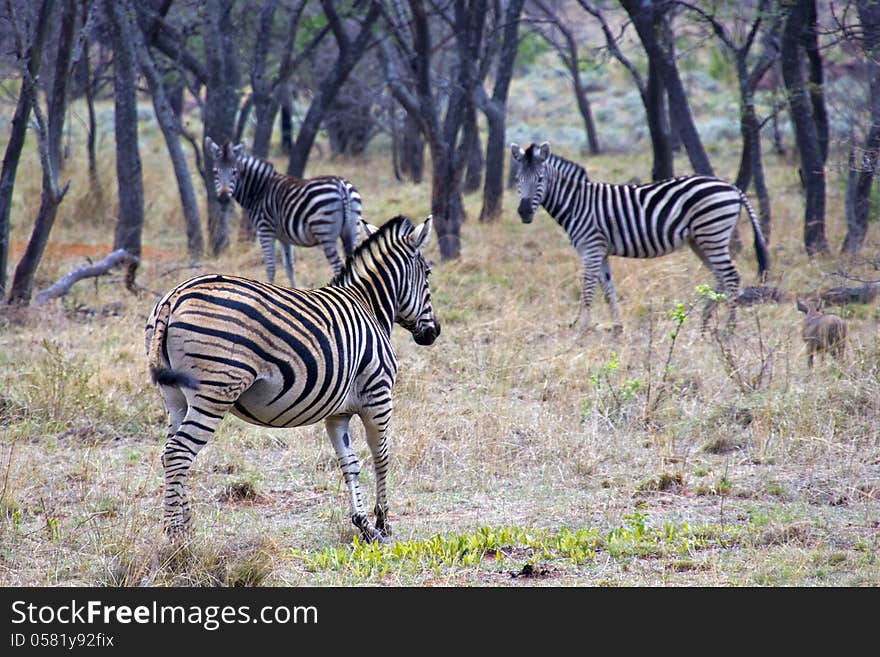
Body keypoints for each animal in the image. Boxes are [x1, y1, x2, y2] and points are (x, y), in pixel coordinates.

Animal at [147, 215, 444, 544]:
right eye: (428, 273)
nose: (433, 332)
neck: (369, 306)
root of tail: (174, 297)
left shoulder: (337, 413)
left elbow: (350, 463)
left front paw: (363, 523)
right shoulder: (378, 396)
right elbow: (381, 457)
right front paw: (383, 523)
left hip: (175, 397)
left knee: (169, 453)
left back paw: (186, 528)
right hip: (214, 392)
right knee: (179, 452)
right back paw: (175, 534)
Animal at [205, 138, 360, 288]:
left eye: (234, 172)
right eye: (215, 172)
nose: (223, 198)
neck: (260, 190)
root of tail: (341, 186)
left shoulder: (265, 230)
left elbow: (270, 267)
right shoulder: (284, 238)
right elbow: (289, 267)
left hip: (325, 232)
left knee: (338, 266)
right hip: (352, 229)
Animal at [512, 140, 768, 330]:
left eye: (540, 179)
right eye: (517, 180)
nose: (523, 212)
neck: (577, 203)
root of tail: (731, 187)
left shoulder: (591, 248)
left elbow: (587, 289)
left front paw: (582, 329)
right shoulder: (601, 251)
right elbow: (607, 290)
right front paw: (617, 329)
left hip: (712, 234)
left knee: (731, 276)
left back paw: (729, 328)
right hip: (700, 239)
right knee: (720, 277)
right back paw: (704, 323)